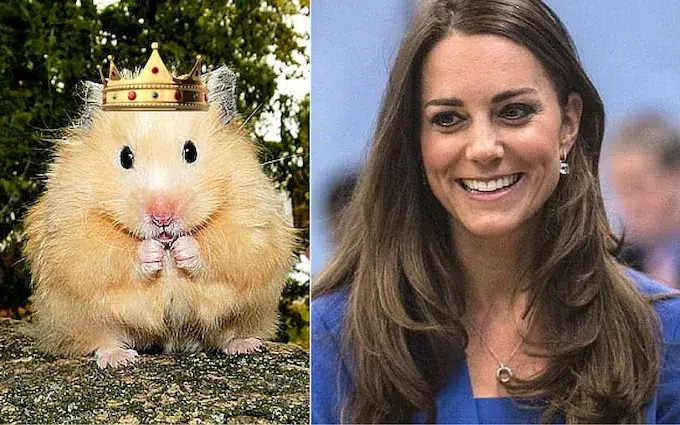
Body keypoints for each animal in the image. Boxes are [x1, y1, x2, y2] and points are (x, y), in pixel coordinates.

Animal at [23, 67, 294, 368]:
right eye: (125, 157)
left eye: (191, 151)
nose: (162, 217)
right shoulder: (70, 226)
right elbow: (101, 257)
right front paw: (152, 252)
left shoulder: (254, 215)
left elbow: (236, 249)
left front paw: (182, 249)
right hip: (75, 317)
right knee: (101, 338)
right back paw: (118, 358)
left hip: (252, 311)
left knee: (227, 332)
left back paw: (245, 345)